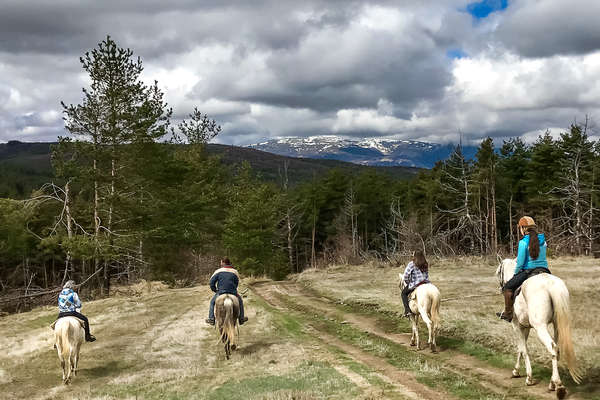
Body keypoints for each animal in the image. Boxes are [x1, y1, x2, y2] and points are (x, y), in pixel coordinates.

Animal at [496, 258, 580, 398]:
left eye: (498, 272)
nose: (501, 287)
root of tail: (550, 285)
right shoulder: (526, 328)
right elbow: (521, 348)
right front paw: (516, 371)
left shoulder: (517, 326)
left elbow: (523, 350)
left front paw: (528, 378)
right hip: (557, 326)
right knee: (556, 349)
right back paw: (552, 383)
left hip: (540, 327)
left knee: (552, 348)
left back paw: (559, 386)